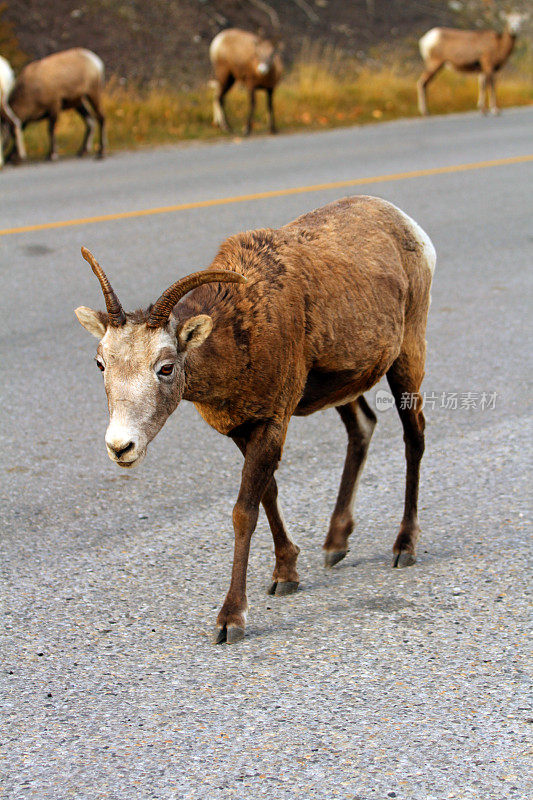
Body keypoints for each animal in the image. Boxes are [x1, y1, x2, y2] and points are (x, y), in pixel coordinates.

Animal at [75, 197, 434, 648]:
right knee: (363, 428)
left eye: (166, 367)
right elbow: (269, 494)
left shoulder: (272, 422)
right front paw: (287, 574)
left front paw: (231, 620)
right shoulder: (243, 429)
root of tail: (405, 221)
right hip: (342, 389)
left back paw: (404, 547)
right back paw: (335, 544)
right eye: (100, 363)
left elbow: (244, 511)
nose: (121, 447)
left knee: (414, 436)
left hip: (408, 357)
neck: (241, 329)